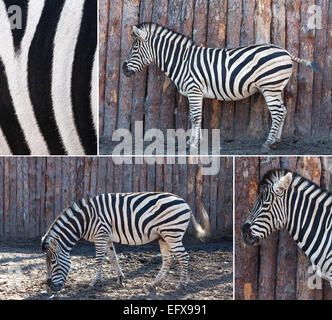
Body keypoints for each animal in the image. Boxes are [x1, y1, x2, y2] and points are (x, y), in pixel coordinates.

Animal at [40, 191, 208, 292]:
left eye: (53, 262)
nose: (50, 287)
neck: (85, 220)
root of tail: (184, 202)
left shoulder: (101, 234)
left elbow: (99, 259)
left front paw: (94, 282)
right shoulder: (106, 237)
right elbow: (113, 257)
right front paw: (120, 279)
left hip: (172, 233)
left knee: (183, 257)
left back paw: (182, 284)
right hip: (164, 236)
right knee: (168, 259)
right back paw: (155, 283)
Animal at [122, 23, 322, 151]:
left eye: (134, 48)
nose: (124, 69)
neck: (182, 61)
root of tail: (286, 52)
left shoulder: (194, 90)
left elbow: (195, 117)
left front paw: (193, 144)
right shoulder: (195, 93)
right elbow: (194, 117)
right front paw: (195, 142)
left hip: (270, 87)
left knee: (278, 112)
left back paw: (267, 144)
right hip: (276, 88)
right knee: (283, 110)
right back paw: (276, 141)